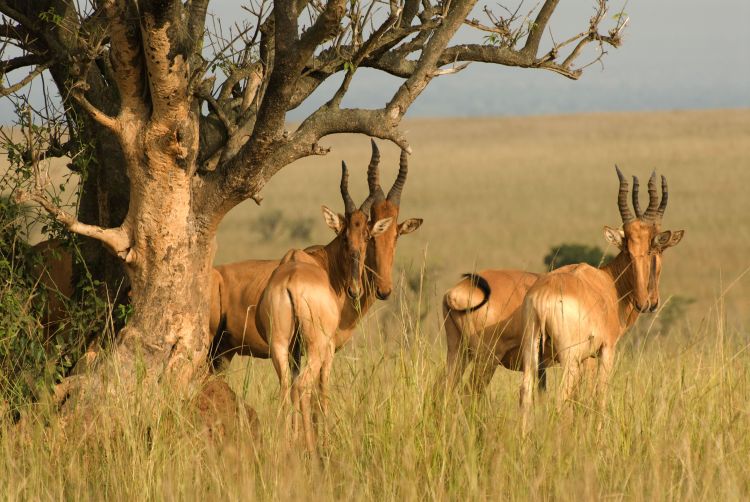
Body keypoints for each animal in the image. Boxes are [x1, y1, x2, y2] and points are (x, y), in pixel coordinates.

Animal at [254, 160, 396, 452]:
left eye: (366, 235)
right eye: (344, 236)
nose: (354, 290)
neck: (321, 262)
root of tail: (292, 281)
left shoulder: (295, 350)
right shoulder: (329, 348)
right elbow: (323, 389)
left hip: (279, 345)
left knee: (286, 386)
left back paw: (283, 446)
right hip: (317, 347)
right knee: (303, 386)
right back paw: (310, 447)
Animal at [520, 169, 684, 432]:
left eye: (650, 248)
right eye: (630, 250)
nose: (647, 303)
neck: (608, 283)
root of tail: (544, 297)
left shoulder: (586, 358)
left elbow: (582, 400)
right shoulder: (605, 350)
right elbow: (599, 396)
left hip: (532, 352)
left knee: (525, 393)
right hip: (568, 359)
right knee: (561, 399)